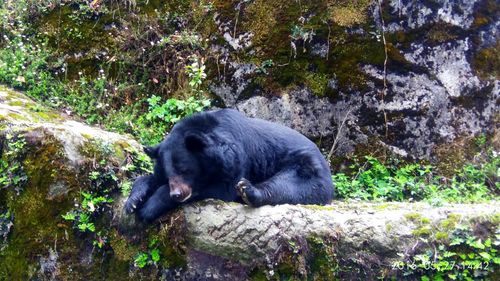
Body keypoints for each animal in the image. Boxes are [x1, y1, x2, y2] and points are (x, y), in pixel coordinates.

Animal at [126, 109, 336, 221]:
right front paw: (133, 202)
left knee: (289, 186)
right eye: (170, 174)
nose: (176, 194)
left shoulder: (236, 159)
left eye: (184, 170)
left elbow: (223, 188)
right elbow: (149, 178)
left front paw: (150, 207)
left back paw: (249, 191)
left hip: (306, 169)